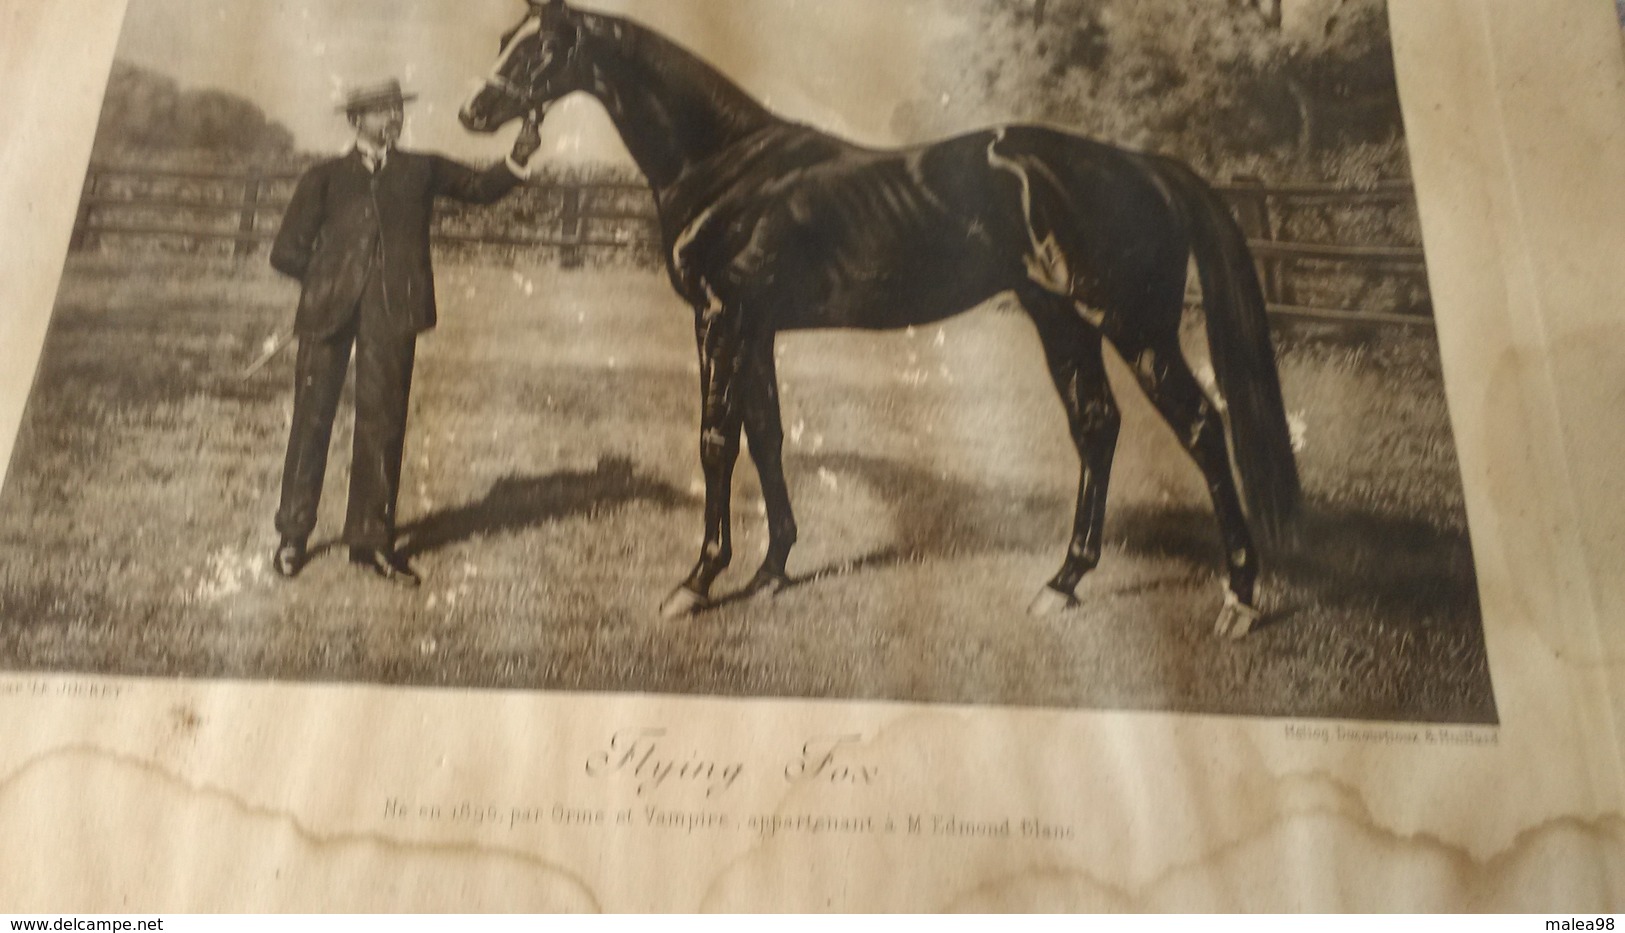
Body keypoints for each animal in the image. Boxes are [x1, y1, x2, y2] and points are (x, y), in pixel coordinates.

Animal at [464, 0, 1300, 640]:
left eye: (540, 46)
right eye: (504, 40)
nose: (474, 111)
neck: (726, 166)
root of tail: (1145, 168)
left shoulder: (720, 318)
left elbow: (715, 442)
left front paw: (696, 582)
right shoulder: (756, 327)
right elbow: (765, 435)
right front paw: (773, 569)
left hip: (1132, 325)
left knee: (1200, 427)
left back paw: (1238, 598)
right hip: (1061, 319)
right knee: (1096, 426)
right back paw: (1062, 581)